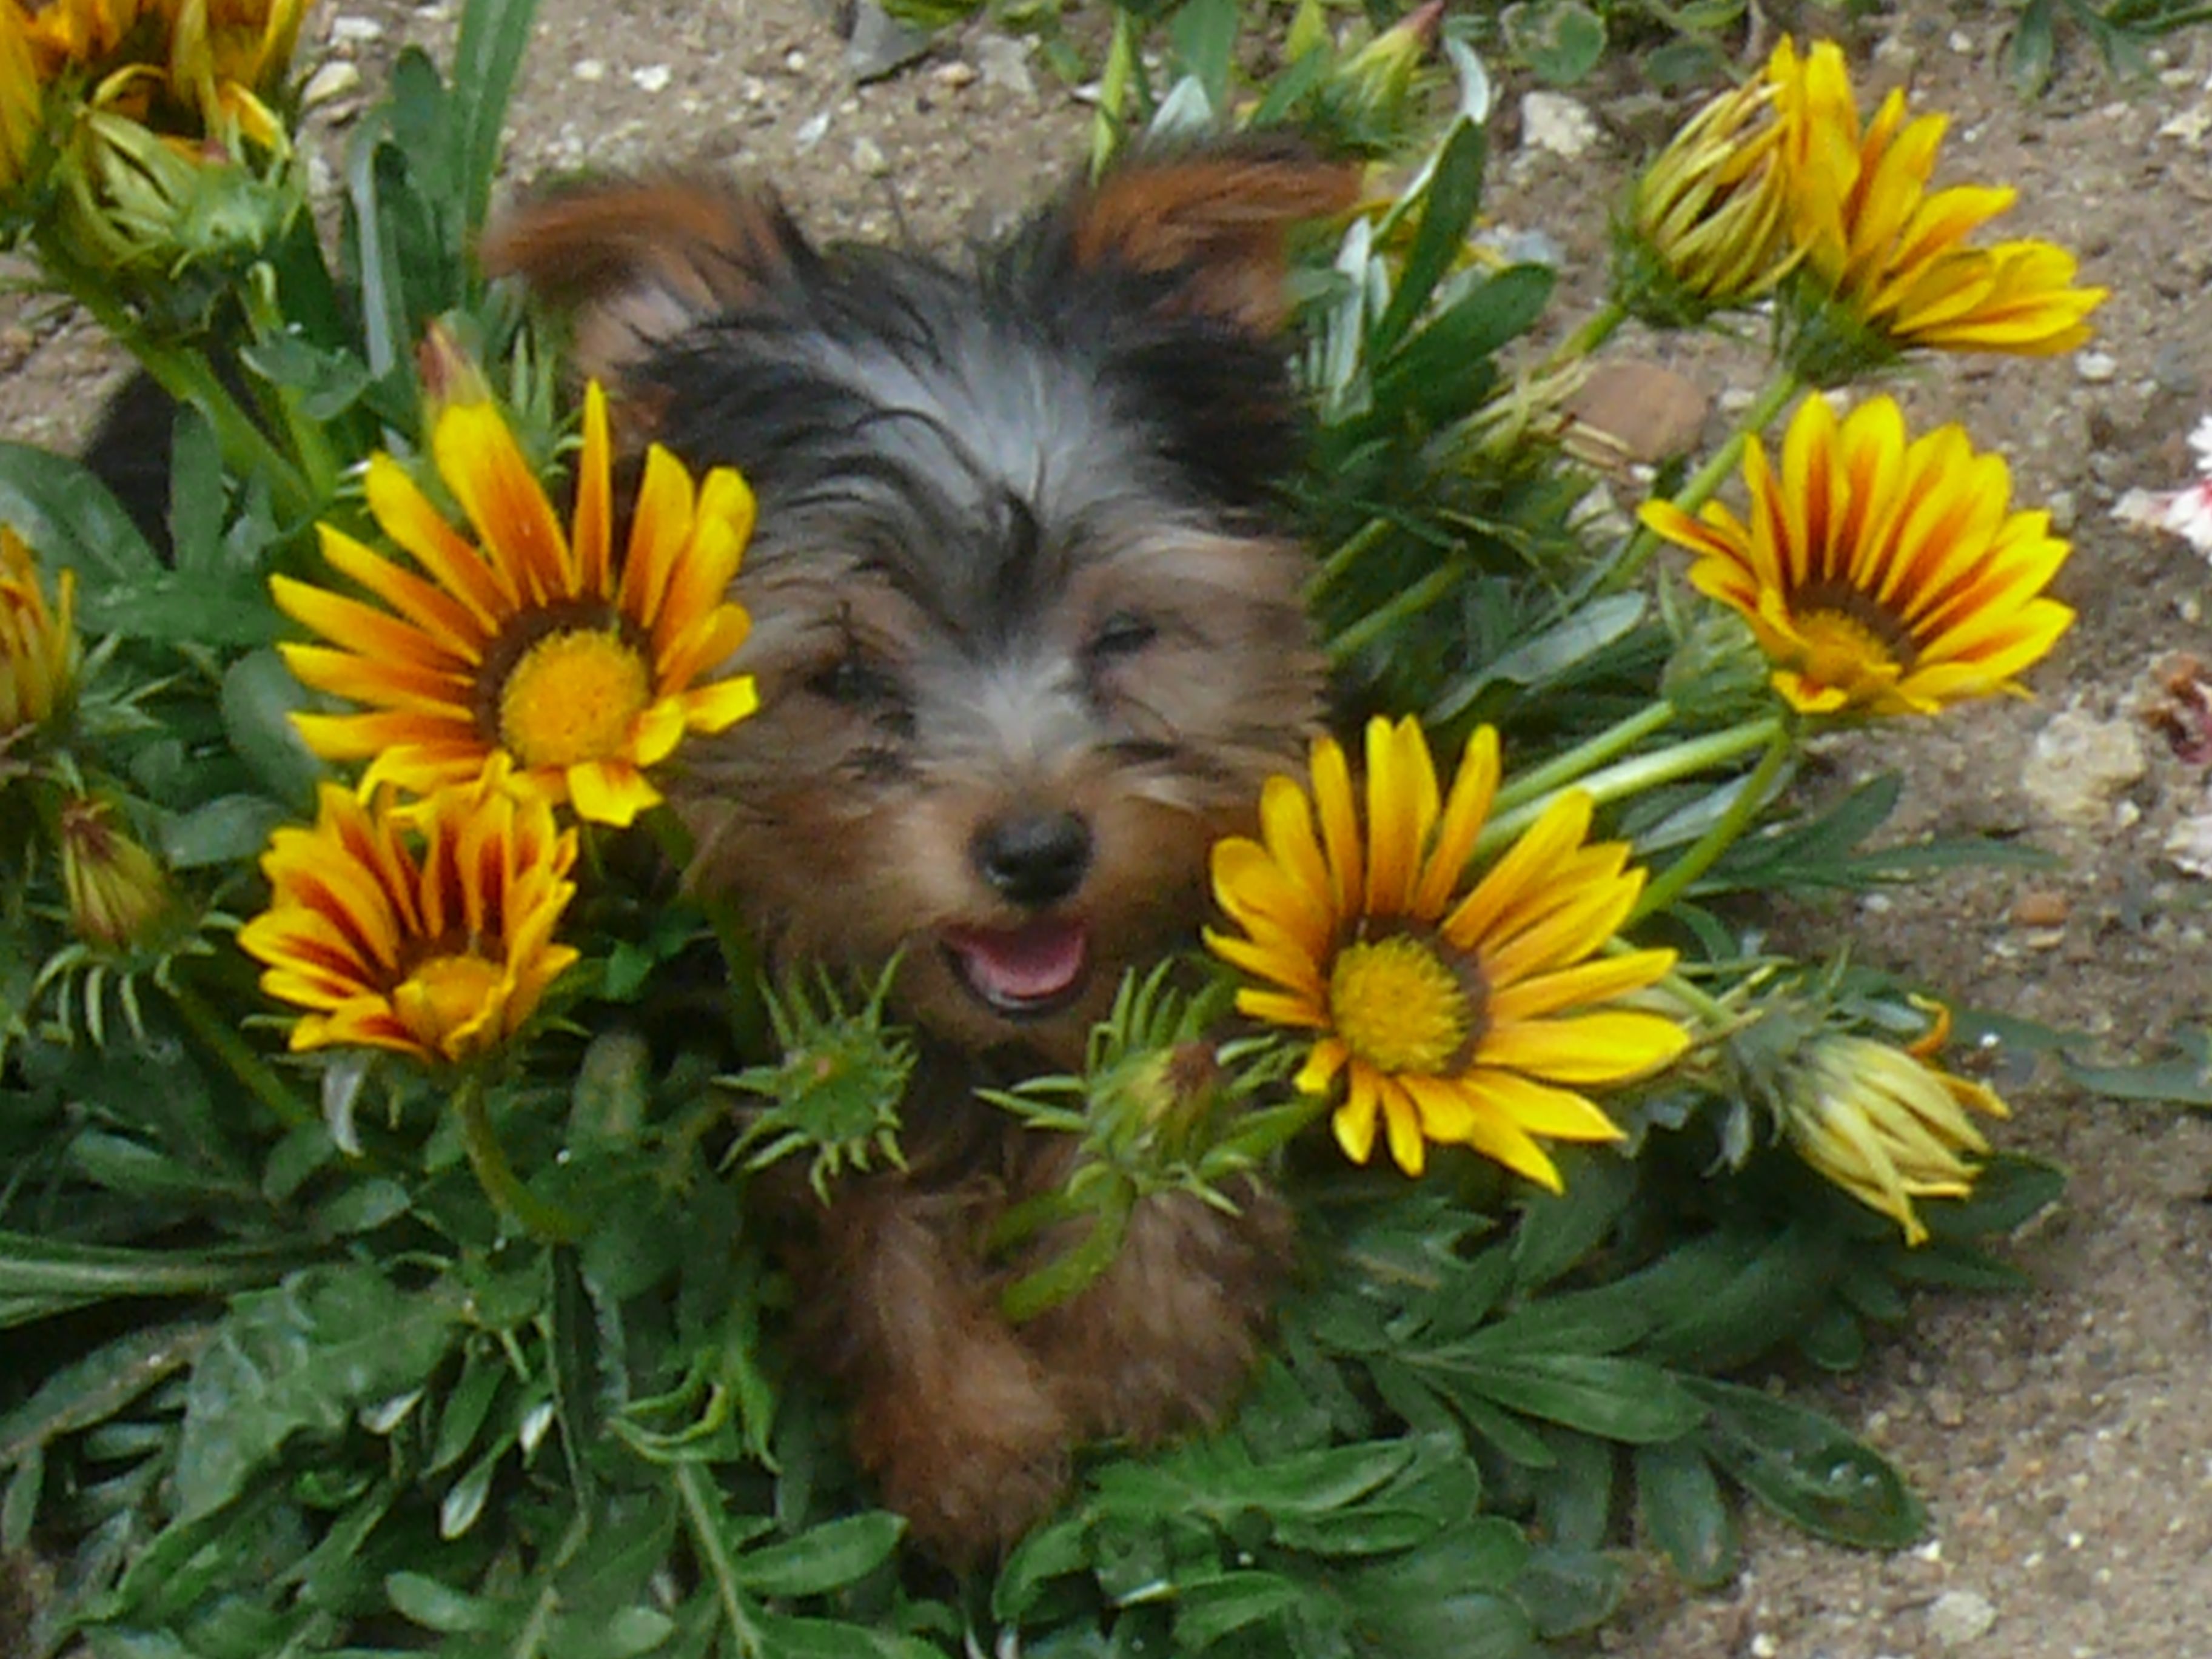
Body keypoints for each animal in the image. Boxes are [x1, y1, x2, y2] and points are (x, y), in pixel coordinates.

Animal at [483, 142, 1360, 1563]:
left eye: (1125, 634)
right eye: (843, 676)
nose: (1038, 850)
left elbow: (1169, 1072)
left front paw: (1149, 1335)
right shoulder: (773, 1032)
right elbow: (858, 1210)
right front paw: (968, 1439)